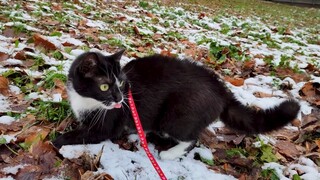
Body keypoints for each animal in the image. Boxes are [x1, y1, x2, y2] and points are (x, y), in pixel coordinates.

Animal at [52, 49, 300, 160]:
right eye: (104, 86)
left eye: (121, 83)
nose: (120, 99)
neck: (88, 101)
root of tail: (221, 88)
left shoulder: (107, 123)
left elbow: (87, 133)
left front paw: (57, 141)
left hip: (177, 116)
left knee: (191, 138)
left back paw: (170, 153)